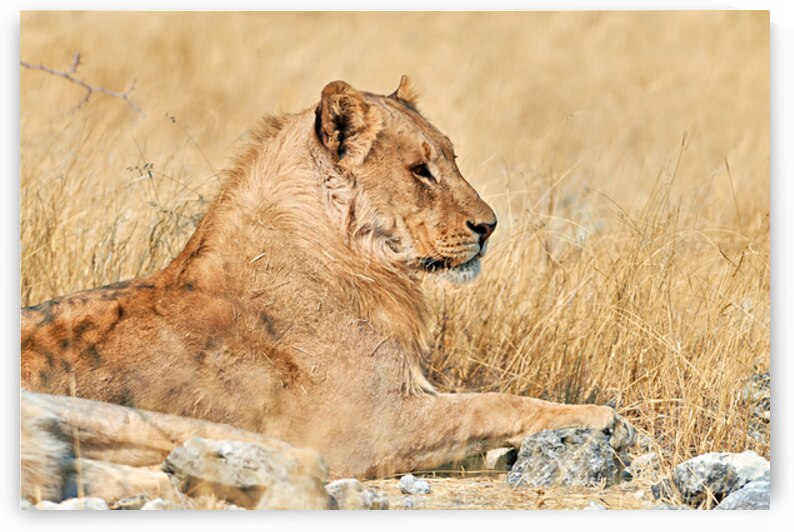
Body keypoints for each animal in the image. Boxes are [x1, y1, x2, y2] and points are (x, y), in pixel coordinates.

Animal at [21, 76, 633, 482]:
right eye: (421, 170)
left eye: (453, 159)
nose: (489, 226)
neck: (365, 262)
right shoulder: (365, 429)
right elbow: (491, 404)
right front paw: (601, 419)